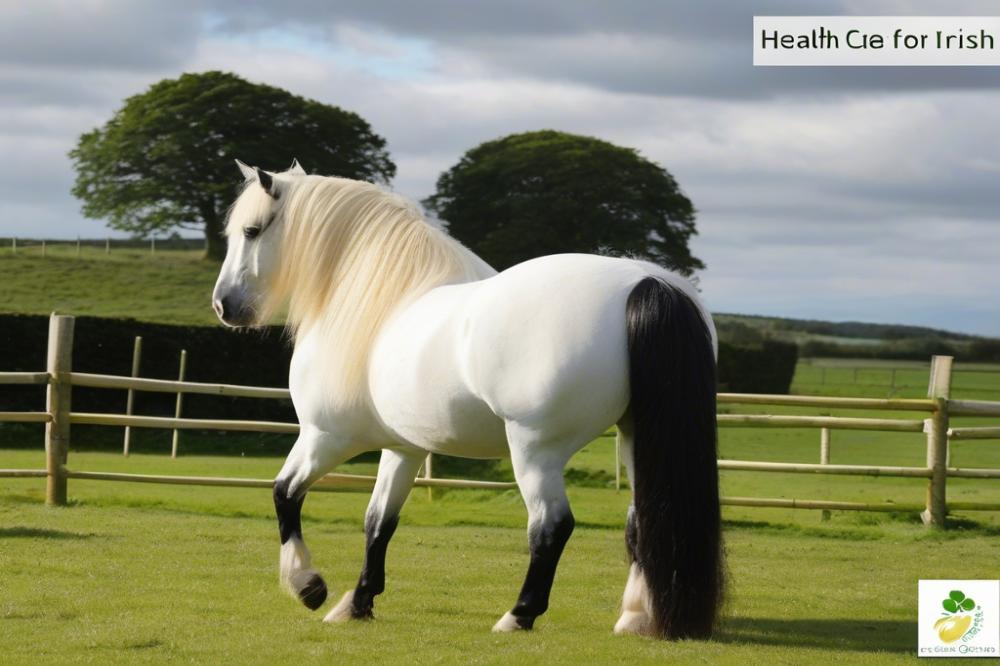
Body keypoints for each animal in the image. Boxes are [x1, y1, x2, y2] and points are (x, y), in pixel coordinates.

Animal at [215, 158, 724, 636]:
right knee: (642, 520)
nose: (224, 306)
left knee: (550, 527)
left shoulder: (325, 437)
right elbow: (378, 523)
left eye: (251, 230)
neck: (382, 302)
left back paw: (518, 615)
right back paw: (636, 616)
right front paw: (357, 603)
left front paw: (308, 585)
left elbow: (284, 494)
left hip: (535, 449)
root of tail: (644, 283)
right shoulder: (403, 449)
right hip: (636, 439)